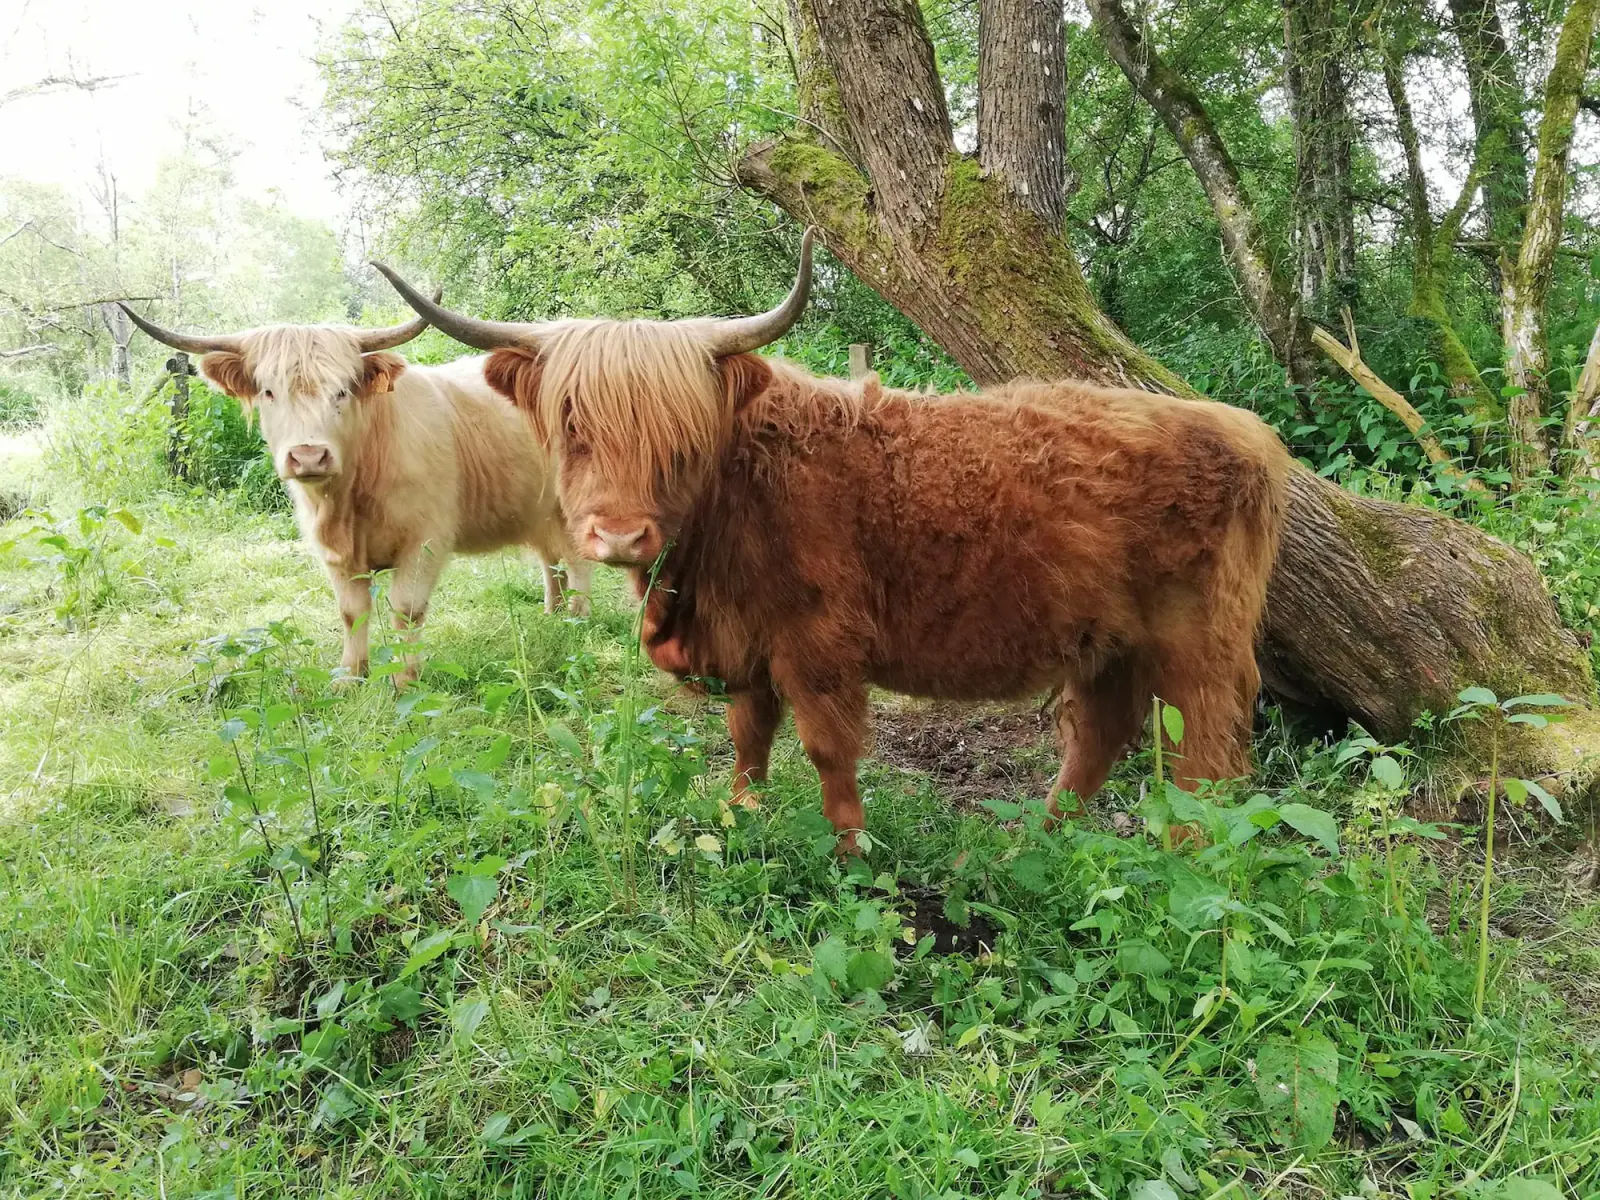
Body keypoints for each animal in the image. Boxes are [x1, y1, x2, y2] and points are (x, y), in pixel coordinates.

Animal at [119, 304, 592, 687]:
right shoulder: (335, 554)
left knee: (576, 559)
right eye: (269, 391)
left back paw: (579, 619)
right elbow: (352, 611)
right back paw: (553, 614)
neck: (350, 497)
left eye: (342, 390)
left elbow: (406, 609)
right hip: (537, 510)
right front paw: (350, 677)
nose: (309, 455)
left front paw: (405, 681)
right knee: (551, 559)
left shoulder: (425, 540)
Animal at [373, 232, 1291, 849]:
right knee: (1102, 735)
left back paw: (1189, 859)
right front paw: (739, 815)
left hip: (1199, 643)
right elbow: (748, 736)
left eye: (682, 436)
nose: (621, 533)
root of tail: (1243, 430)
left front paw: (851, 851)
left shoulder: (818, 644)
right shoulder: (744, 640)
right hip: (1107, 641)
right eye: (571, 425)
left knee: (1208, 754)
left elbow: (827, 751)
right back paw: (1038, 840)